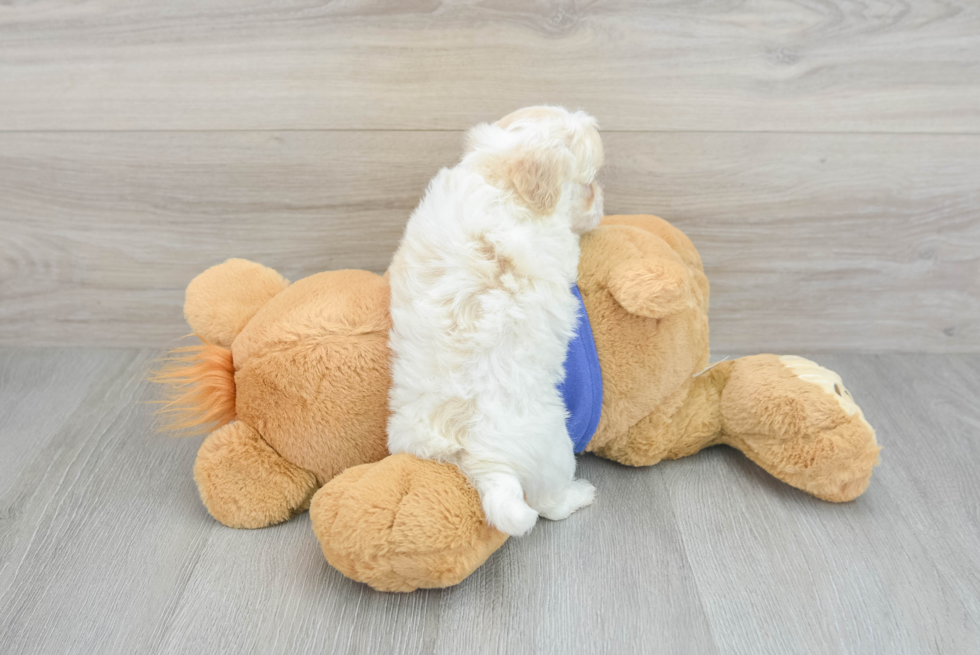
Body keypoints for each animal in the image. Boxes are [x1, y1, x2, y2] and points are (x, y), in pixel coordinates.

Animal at [384, 107, 600, 536]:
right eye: (588, 184)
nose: (602, 202)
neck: (499, 176)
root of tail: (477, 460)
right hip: (554, 448)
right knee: (547, 504)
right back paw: (579, 495)